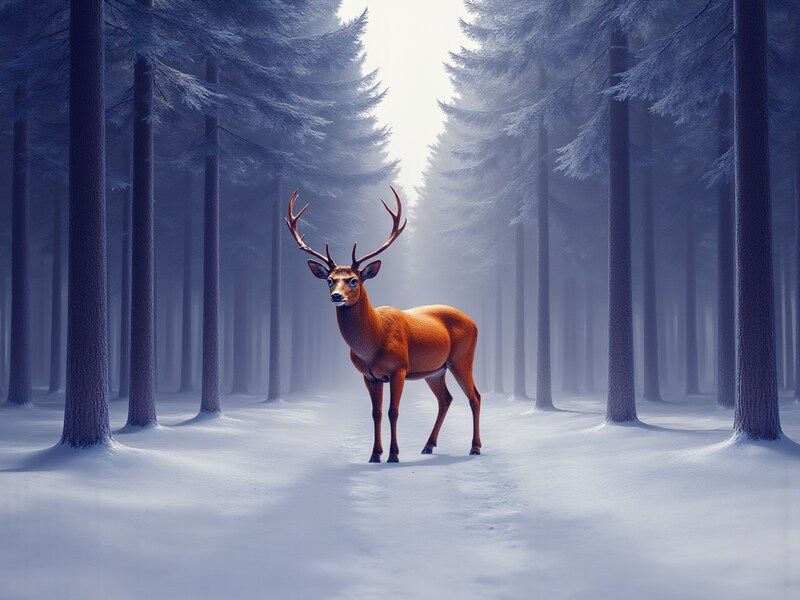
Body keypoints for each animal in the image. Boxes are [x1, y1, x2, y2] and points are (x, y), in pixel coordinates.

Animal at [286, 187, 482, 463]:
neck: (372, 344)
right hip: (436, 370)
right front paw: (374, 454)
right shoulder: (370, 376)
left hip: (462, 357)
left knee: (474, 396)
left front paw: (393, 454)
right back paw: (428, 445)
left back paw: (475, 447)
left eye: (354, 280)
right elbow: (376, 413)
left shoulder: (399, 368)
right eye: (329, 280)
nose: (336, 296)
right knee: (446, 398)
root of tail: (473, 321)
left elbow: (393, 411)